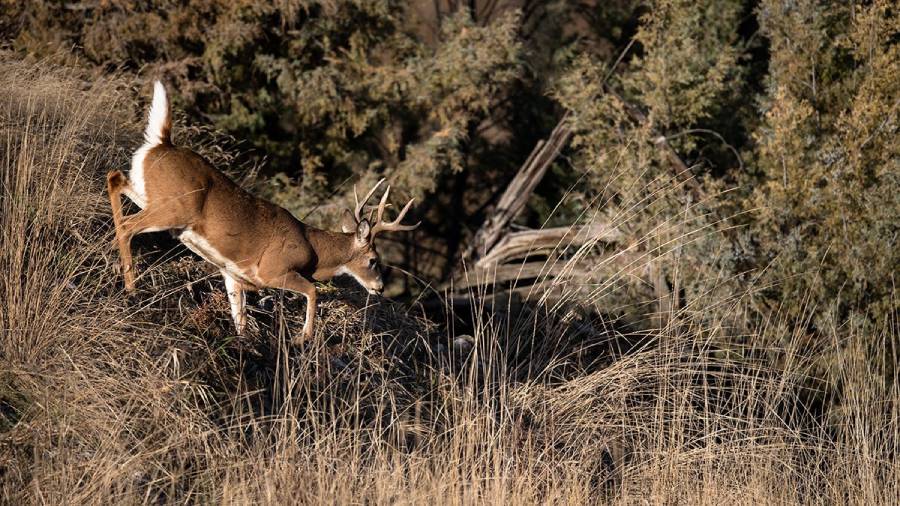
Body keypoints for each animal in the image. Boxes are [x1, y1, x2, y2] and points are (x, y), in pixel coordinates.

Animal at [106, 81, 419, 343]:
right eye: (374, 260)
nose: (379, 288)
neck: (314, 251)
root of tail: (161, 143)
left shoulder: (233, 274)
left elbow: (240, 317)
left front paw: (246, 344)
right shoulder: (274, 269)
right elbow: (313, 290)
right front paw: (302, 338)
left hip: (152, 197)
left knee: (115, 179)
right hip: (174, 208)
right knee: (128, 225)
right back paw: (130, 286)